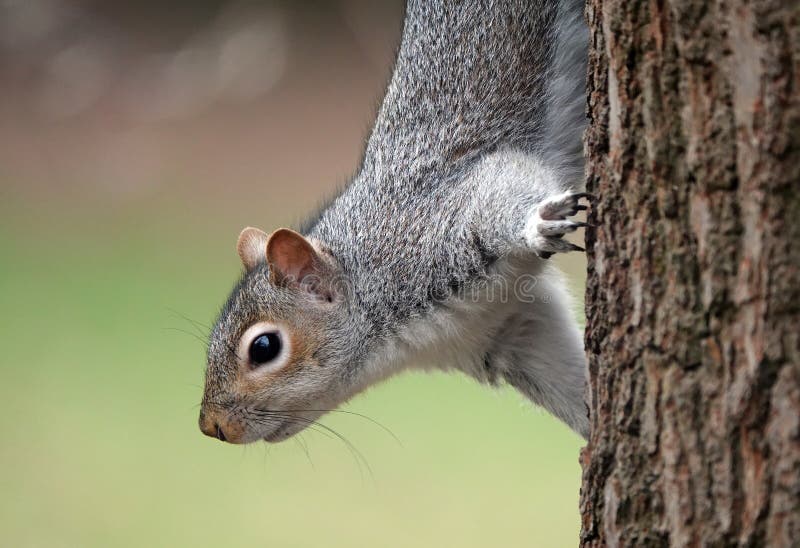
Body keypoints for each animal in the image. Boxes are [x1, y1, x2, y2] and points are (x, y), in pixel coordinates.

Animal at [198, 0, 592, 444]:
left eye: (264, 347)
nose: (211, 427)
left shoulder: (437, 225)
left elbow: (503, 188)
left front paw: (537, 225)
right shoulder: (508, 329)